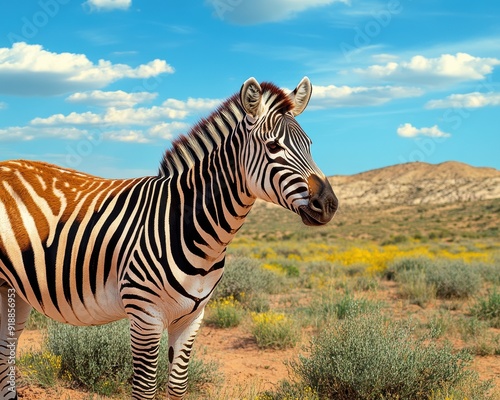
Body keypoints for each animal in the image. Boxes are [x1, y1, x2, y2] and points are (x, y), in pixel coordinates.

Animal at [0, 76, 338, 398]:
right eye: (273, 147)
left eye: (309, 144)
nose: (329, 204)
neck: (198, 232)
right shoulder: (145, 316)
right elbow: (145, 389)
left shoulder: (192, 317)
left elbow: (177, 386)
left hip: (15, 290)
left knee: (7, 350)